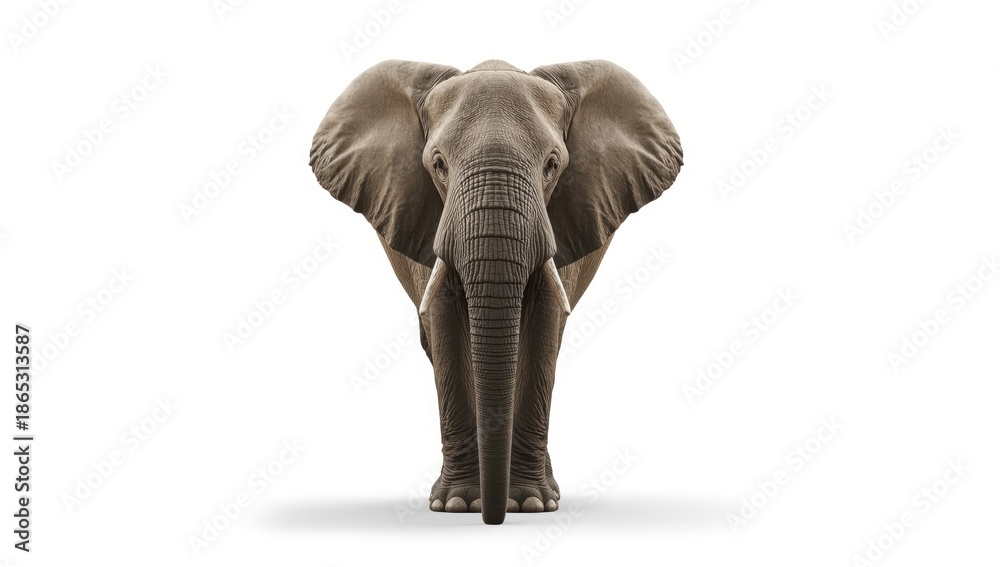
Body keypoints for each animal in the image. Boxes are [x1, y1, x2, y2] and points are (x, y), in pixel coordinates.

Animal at [310, 59, 682, 524]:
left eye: (552, 165)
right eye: (438, 165)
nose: (493, 518)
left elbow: (544, 327)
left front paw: (531, 504)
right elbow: (444, 327)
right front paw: (456, 504)